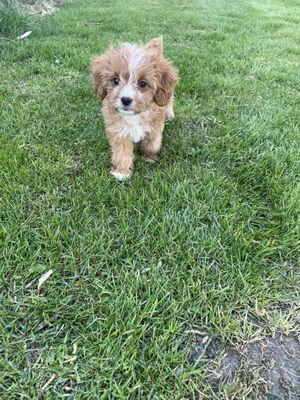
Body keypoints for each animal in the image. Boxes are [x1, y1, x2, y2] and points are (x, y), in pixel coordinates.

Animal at [91, 37, 178, 181]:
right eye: (115, 80)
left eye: (142, 84)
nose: (126, 100)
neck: (134, 115)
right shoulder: (119, 131)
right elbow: (121, 152)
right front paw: (122, 172)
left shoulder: (154, 127)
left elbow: (152, 144)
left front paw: (149, 157)